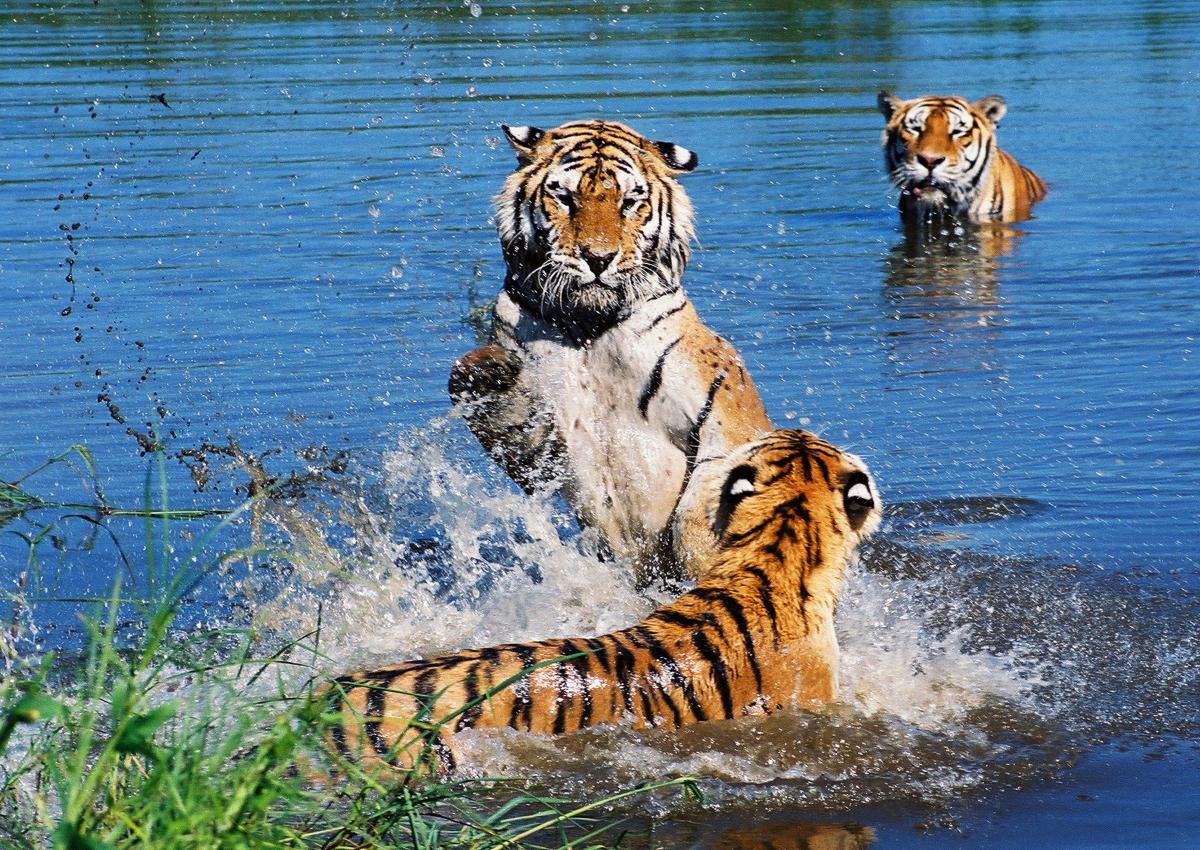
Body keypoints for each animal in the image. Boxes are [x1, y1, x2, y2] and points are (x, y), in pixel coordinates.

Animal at [449, 119, 772, 585]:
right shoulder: (543, 439)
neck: (589, 325)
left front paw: (705, 562)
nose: (598, 258)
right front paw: (487, 370)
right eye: (565, 198)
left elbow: (716, 486)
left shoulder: (724, 409)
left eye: (629, 202)